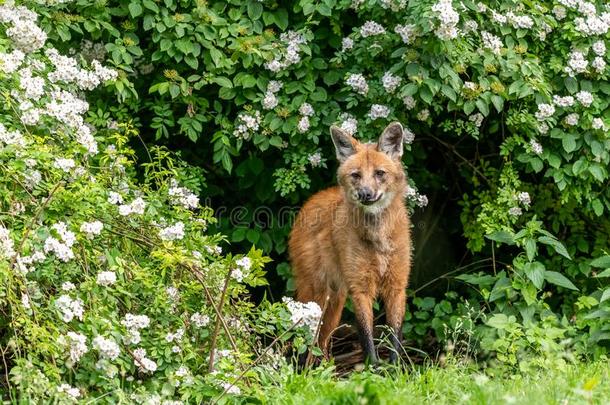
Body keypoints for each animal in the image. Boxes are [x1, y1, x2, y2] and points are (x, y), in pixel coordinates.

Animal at [288, 120, 410, 362]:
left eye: (380, 173)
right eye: (356, 175)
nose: (365, 194)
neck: (378, 237)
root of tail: (309, 202)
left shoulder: (397, 285)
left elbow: (395, 337)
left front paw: (396, 368)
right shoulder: (359, 287)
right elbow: (366, 337)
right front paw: (374, 368)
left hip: (335, 299)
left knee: (322, 341)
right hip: (317, 294)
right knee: (308, 338)